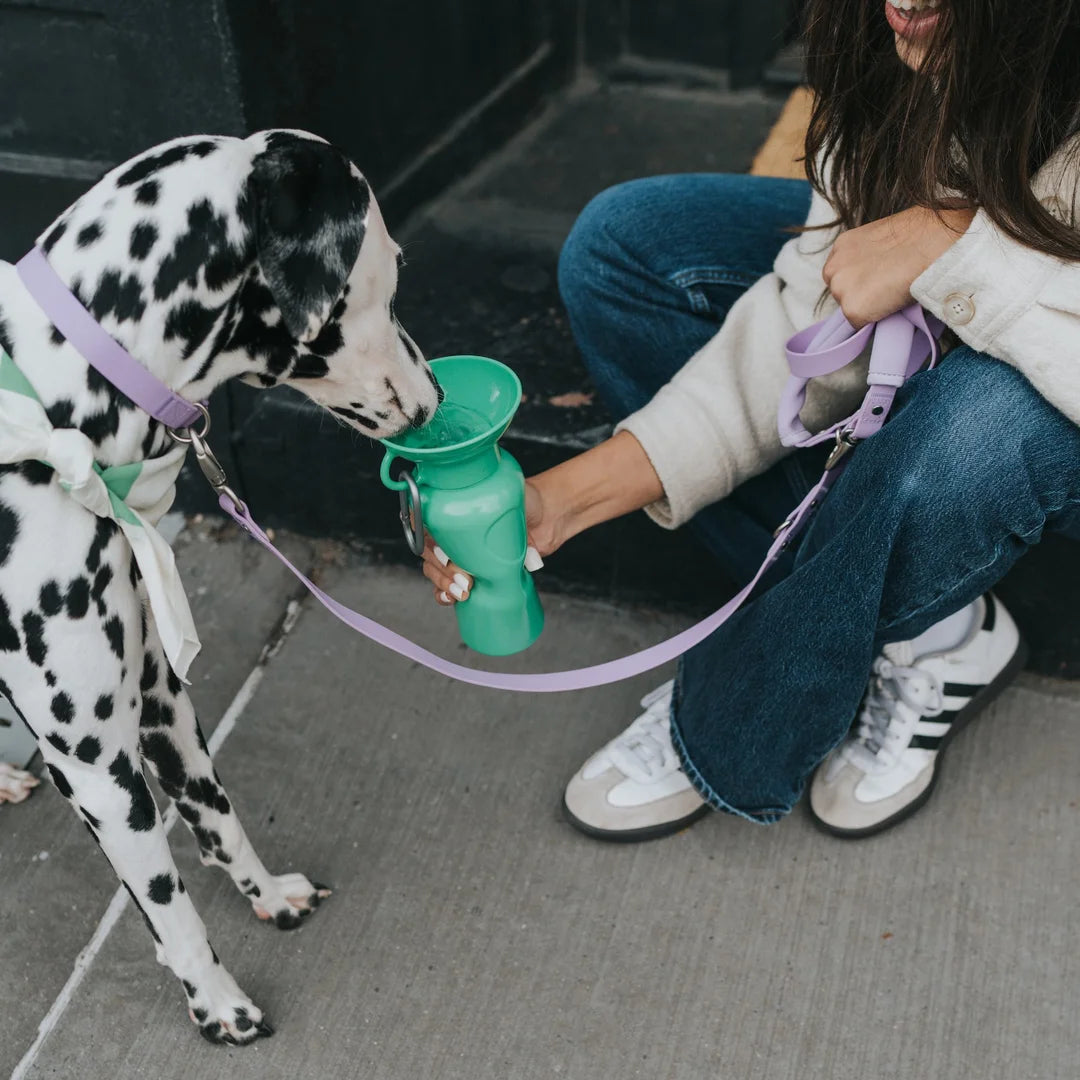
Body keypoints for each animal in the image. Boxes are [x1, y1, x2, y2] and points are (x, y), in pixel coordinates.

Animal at [1, 128, 438, 1045]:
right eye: (390, 270)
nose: (436, 398)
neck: (52, 411)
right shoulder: (97, 767)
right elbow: (168, 908)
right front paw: (219, 1006)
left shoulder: (160, 697)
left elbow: (217, 815)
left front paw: (268, 897)